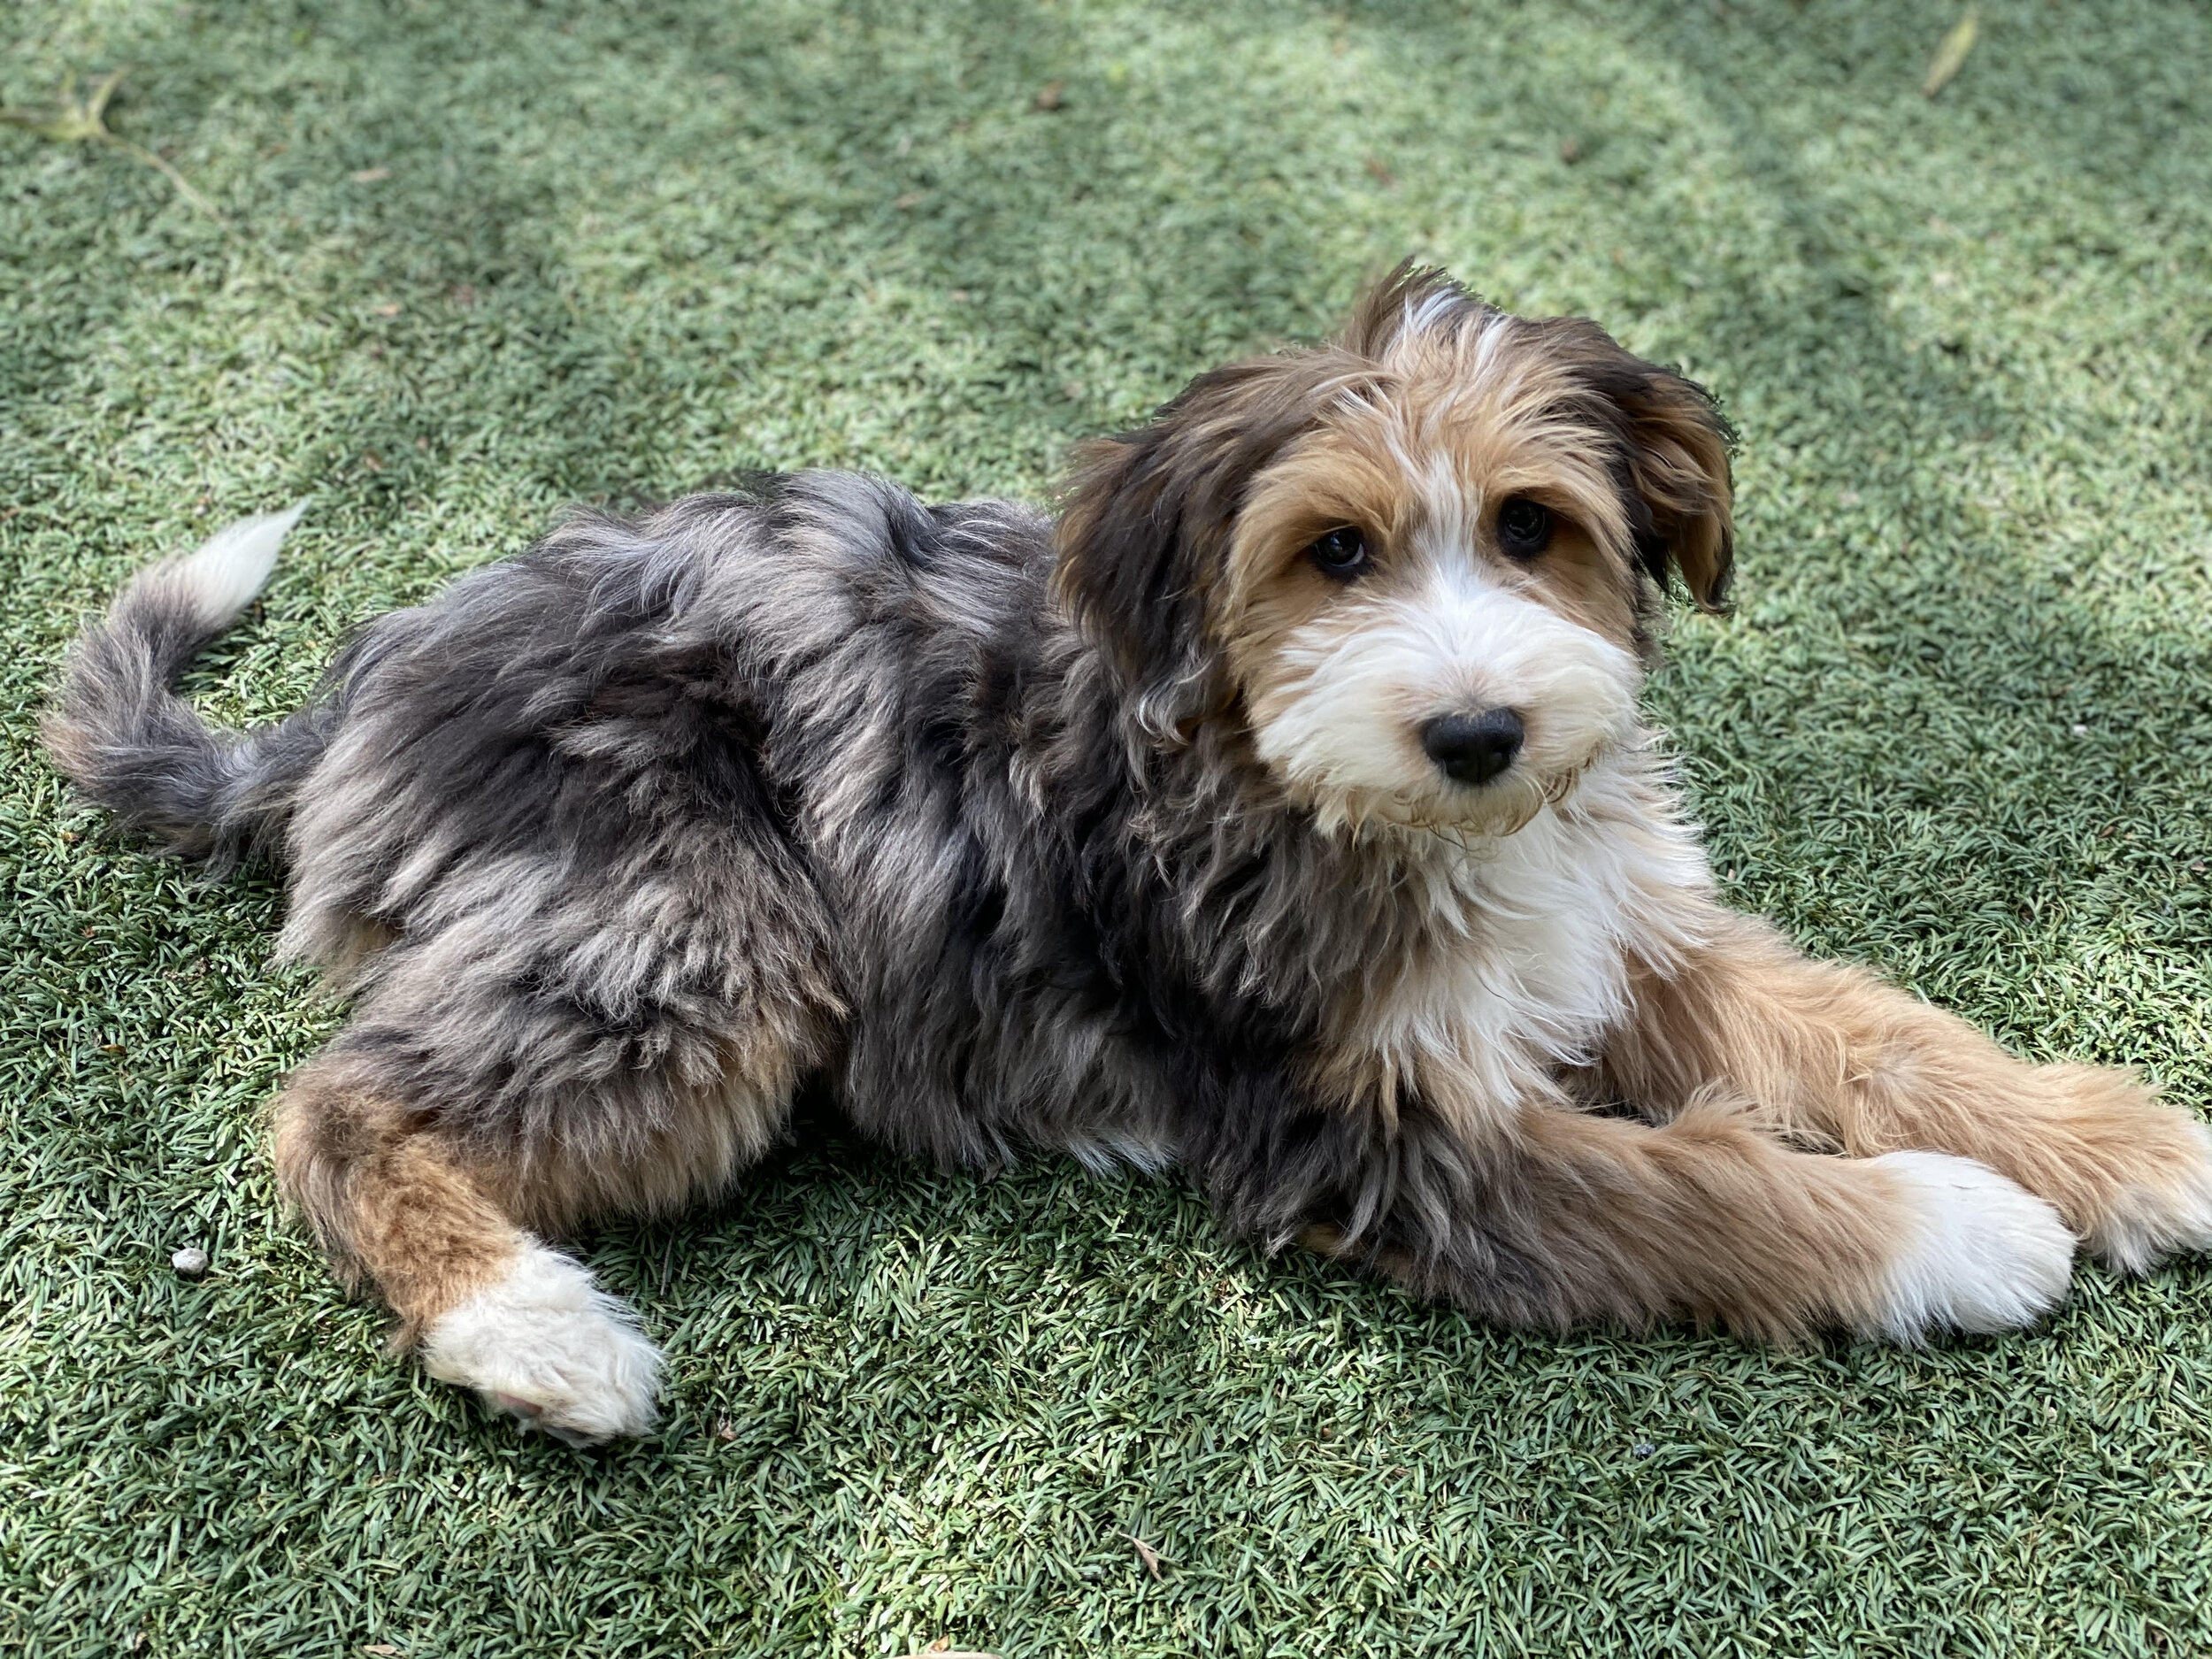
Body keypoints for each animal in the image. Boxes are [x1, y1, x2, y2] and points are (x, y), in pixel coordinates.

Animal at [47, 266, 2212, 1451]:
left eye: (1533, 528)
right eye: (1331, 552)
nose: (1481, 733)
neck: (1344, 802)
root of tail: (366, 686)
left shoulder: (1622, 927)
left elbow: (1866, 1029)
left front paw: (2119, 1146)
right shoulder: (1365, 1118)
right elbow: (1694, 1187)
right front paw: (1952, 1233)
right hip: (691, 932)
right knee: (334, 1105)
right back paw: (533, 1332)